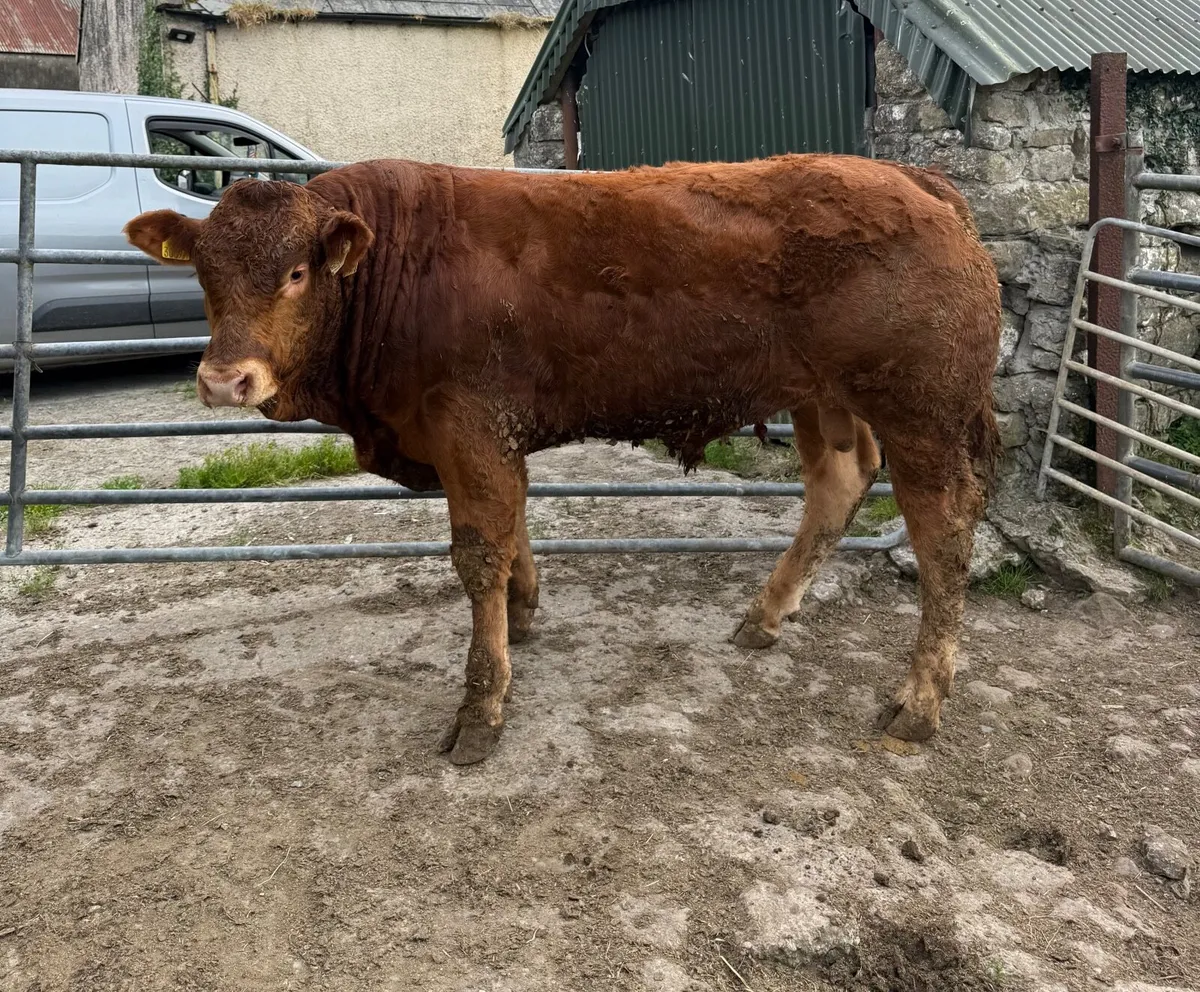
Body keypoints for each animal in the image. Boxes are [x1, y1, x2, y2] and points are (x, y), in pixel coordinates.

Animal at [124, 153, 1001, 765]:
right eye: (203, 274)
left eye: (297, 272)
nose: (224, 379)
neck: (400, 269)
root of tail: (911, 178)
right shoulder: (486, 439)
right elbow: (511, 527)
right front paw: (523, 612)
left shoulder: (470, 425)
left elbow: (478, 550)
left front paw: (481, 709)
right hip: (824, 397)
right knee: (838, 484)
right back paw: (764, 617)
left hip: (923, 413)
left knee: (945, 532)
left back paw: (919, 702)